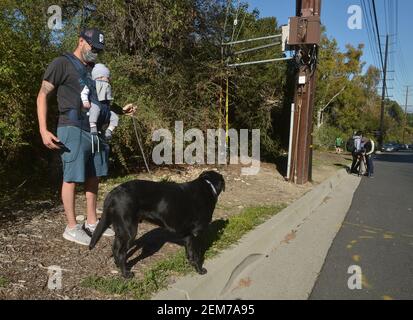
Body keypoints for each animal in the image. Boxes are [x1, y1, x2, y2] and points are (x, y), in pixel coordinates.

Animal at [89, 170, 224, 278]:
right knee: (121, 253)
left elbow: (189, 253)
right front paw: (200, 270)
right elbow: (196, 255)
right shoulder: (194, 234)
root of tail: (113, 193)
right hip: (129, 231)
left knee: (115, 249)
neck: (207, 186)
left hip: (120, 230)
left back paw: (119, 266)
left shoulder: (188, 236)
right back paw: (126, 274)